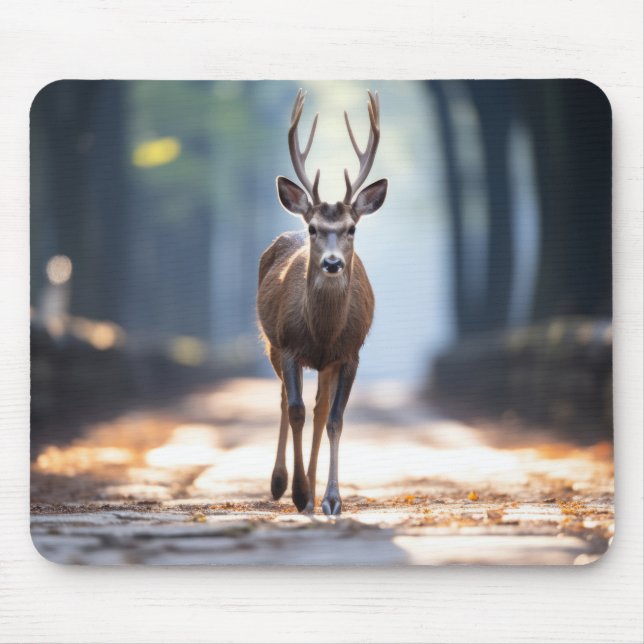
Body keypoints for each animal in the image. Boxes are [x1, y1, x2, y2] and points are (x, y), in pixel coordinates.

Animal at [256, 89, 387, 515]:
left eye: (351, 228)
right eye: (314, 228)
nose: (331, 263)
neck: (322, 332)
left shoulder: (349, 353)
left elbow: (334, 419)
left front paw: (330, 498)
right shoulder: (288, 345)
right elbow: (295, 409)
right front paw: (298, 493)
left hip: (325, 363)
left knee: (318, 410)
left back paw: (314, 492)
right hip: (271, 343)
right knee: (286, 401)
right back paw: (283, 484)